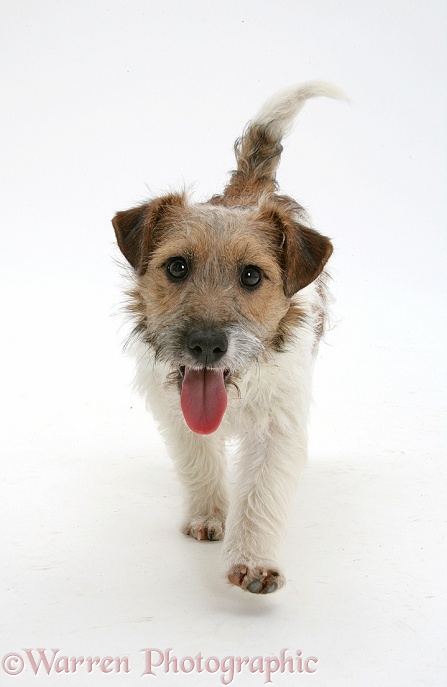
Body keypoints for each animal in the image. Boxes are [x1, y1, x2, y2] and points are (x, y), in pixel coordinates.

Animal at [113, 83, 346, 592]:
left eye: (252, 275)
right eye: (177, 266)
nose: (206, 345)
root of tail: (248, 189)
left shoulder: (279, 426)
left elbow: (260, 492)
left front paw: (253, 562)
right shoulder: (176, 411)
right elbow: (200, 461)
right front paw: (209, 516)